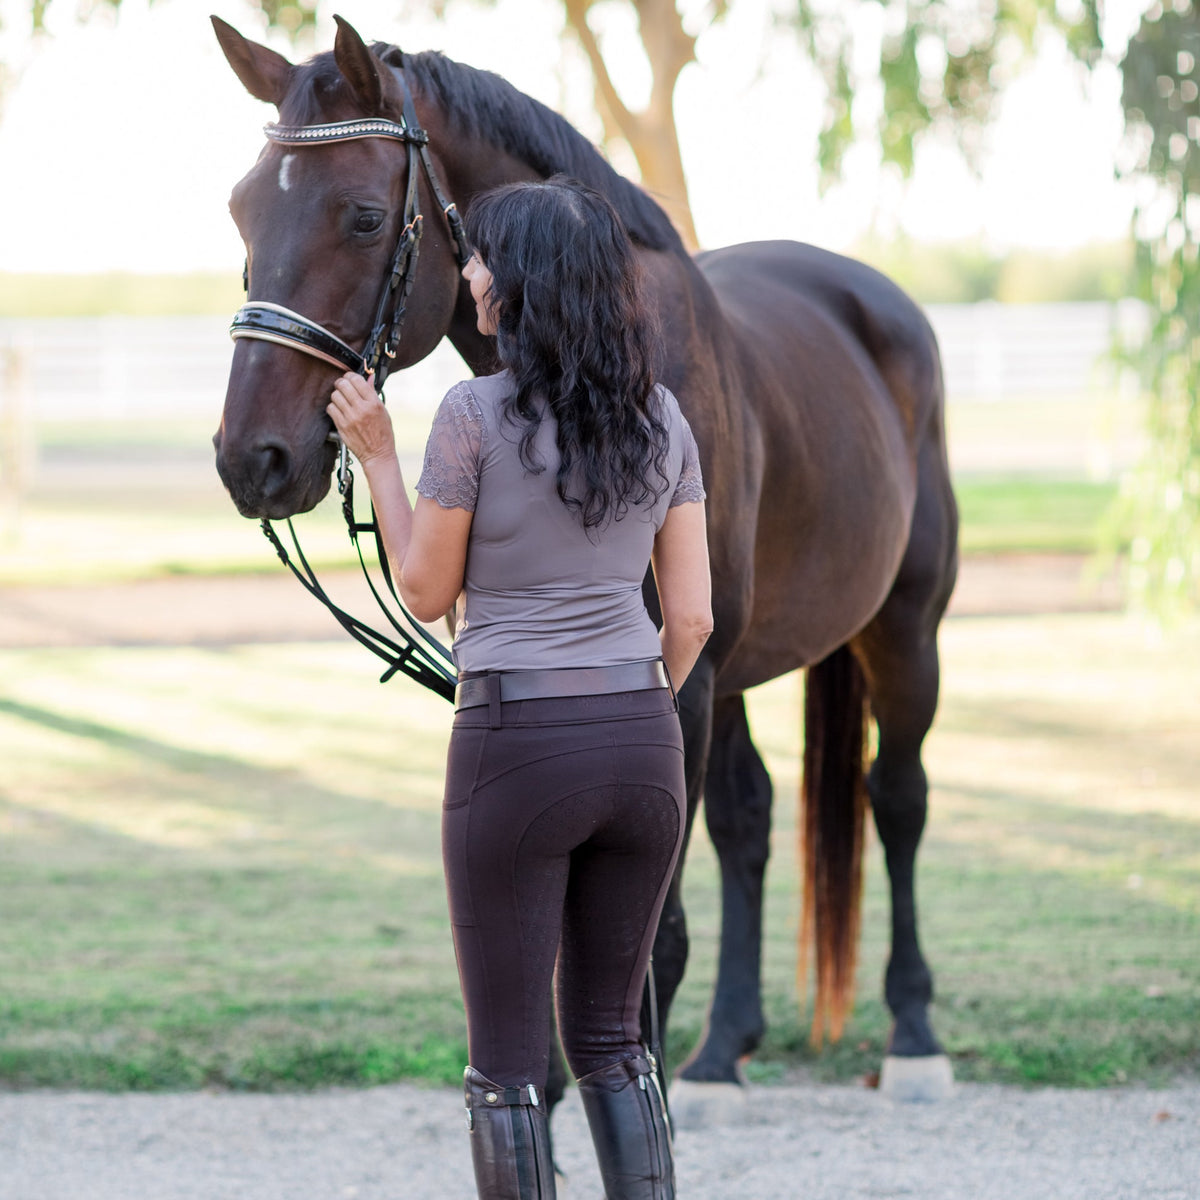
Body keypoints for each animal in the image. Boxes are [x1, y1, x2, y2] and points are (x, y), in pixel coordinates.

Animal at [211, 11, 960, 1113]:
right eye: (242, 211)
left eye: (361, 217)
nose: (250, 458)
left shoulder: (678, 688)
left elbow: (651, 940)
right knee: (749, 821)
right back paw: (723, 1050)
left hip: (903, 631)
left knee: (896, 797)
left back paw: (913, 1037)